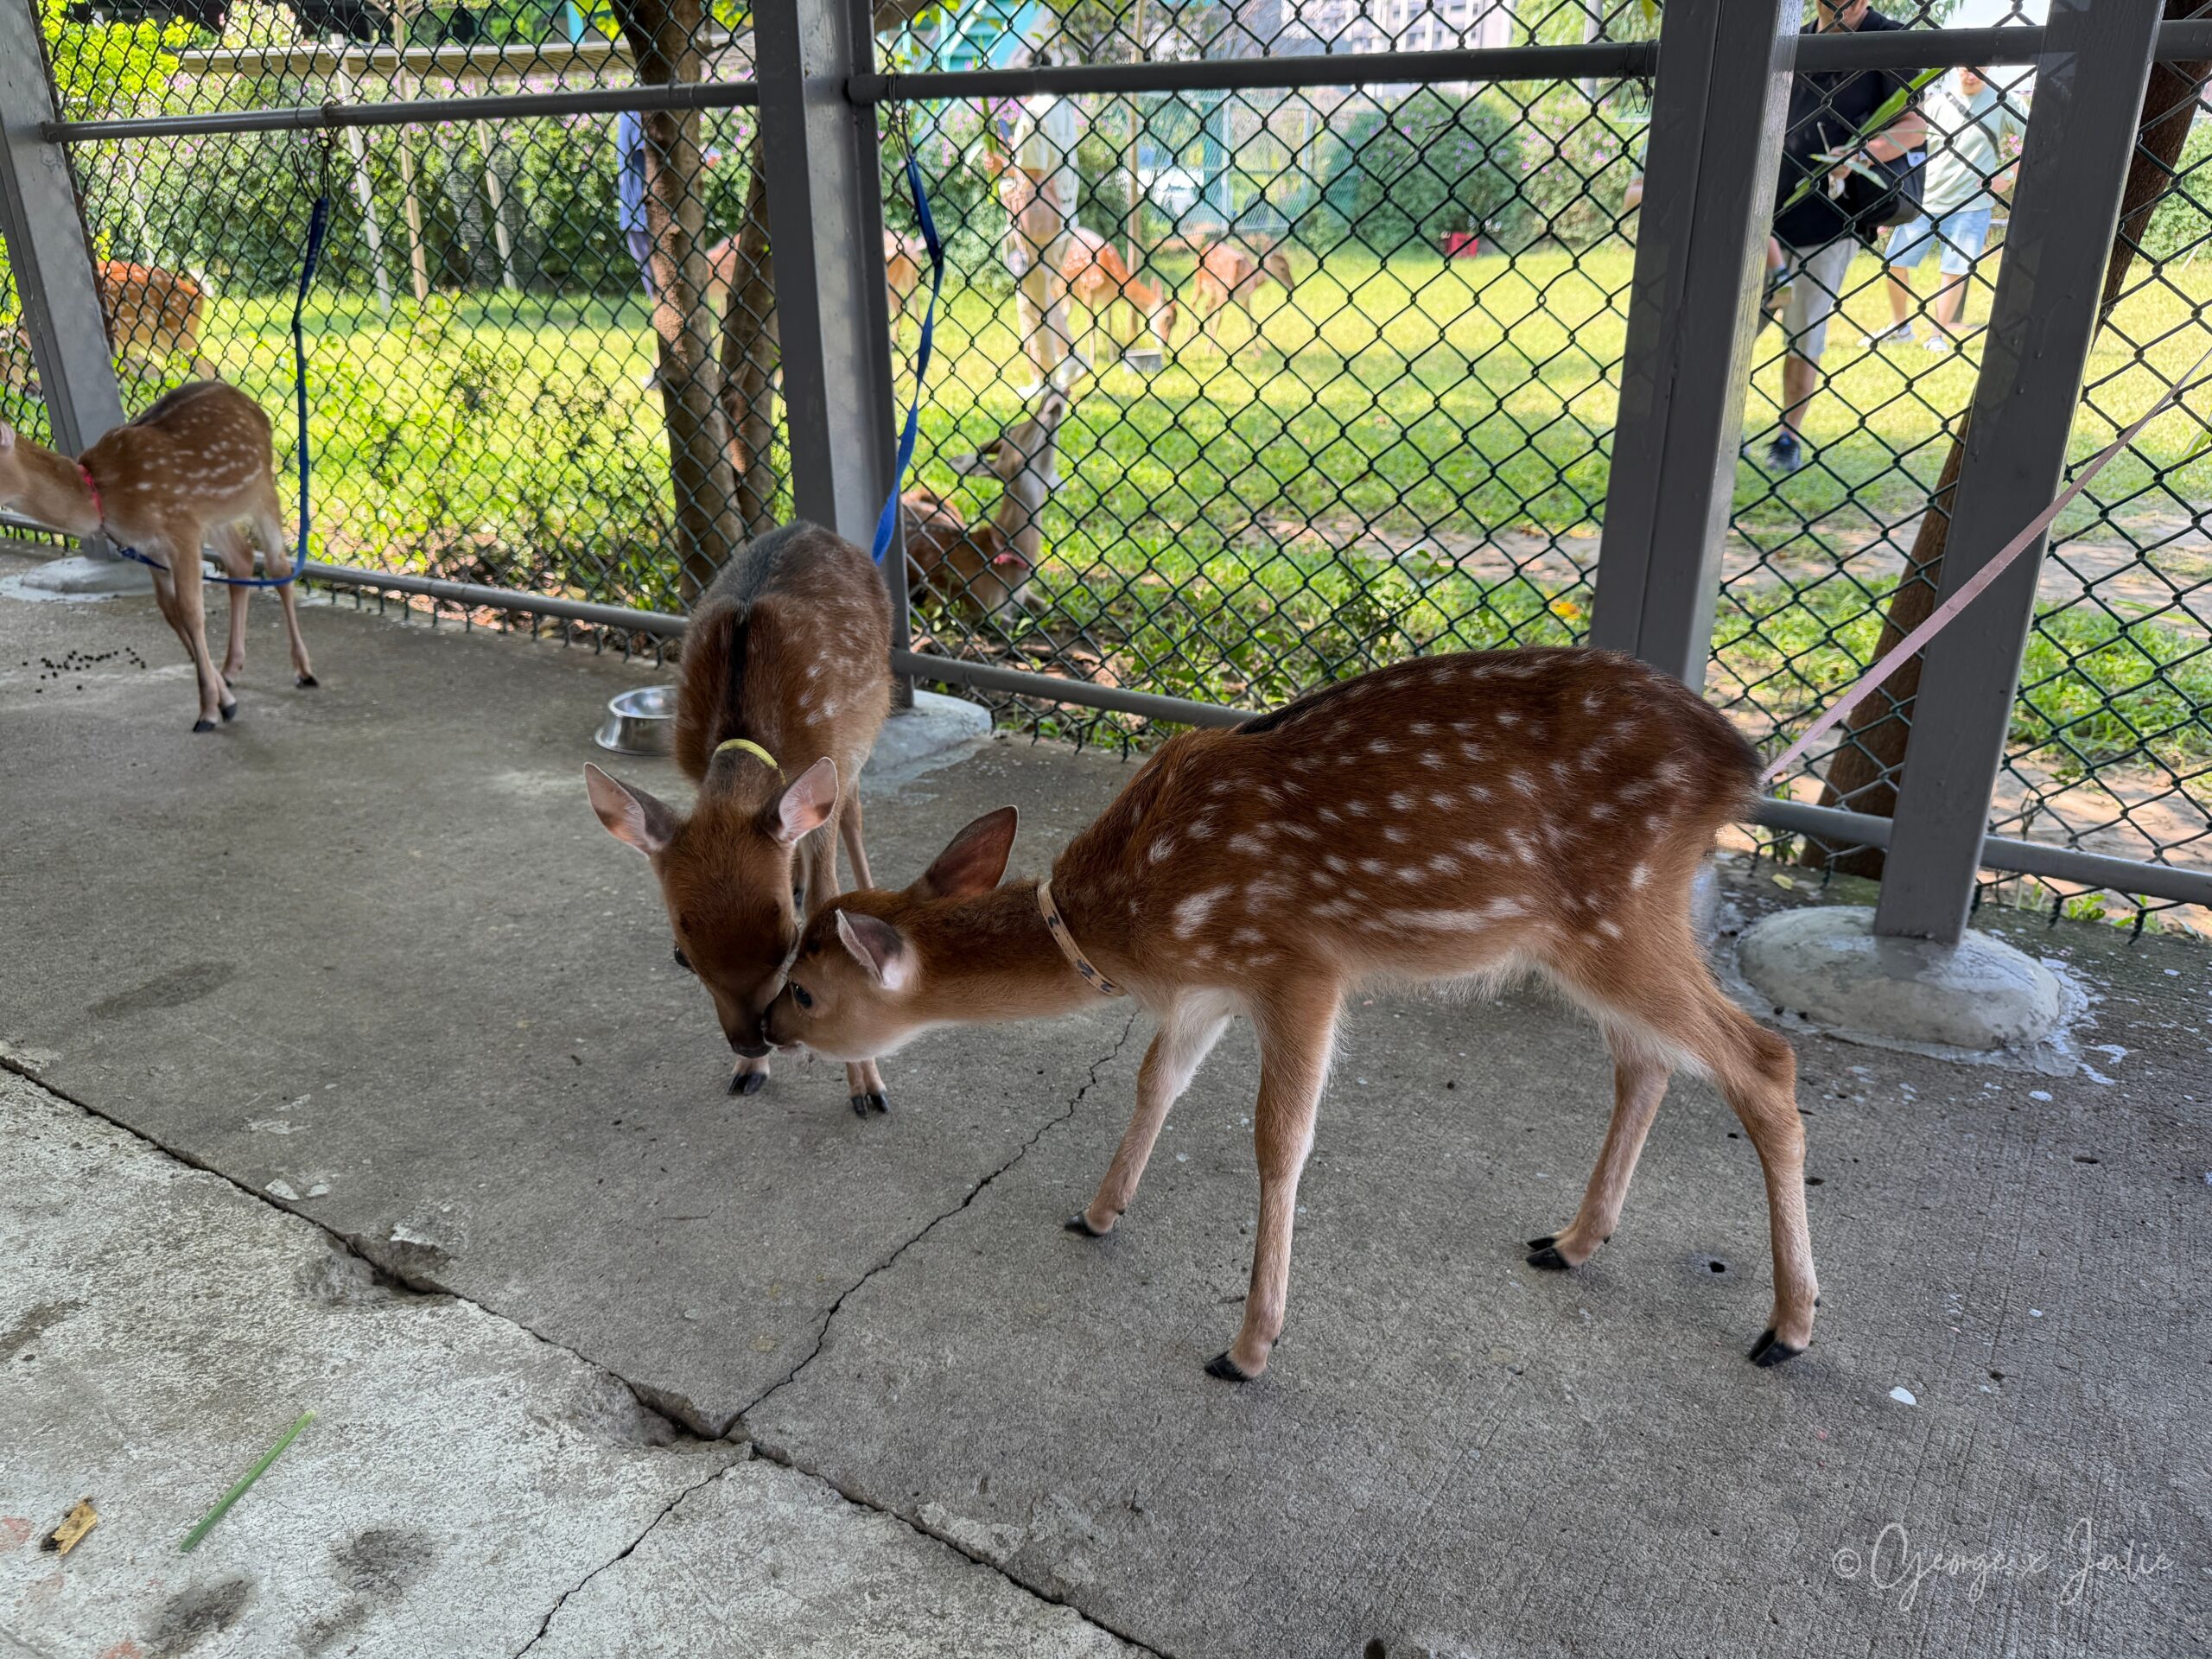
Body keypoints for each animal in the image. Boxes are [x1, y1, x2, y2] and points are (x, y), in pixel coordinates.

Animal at [0, 381, 317, 731]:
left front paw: (208, 711)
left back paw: (303, 670)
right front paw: (225, 702)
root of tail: (256, 408)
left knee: (279, 568)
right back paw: (231, 668)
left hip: (262, 490)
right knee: (242, 559)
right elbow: (171, 611)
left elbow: (191, 613)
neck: (104, 496)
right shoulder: (148, 547)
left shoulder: (181, 529)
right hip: (214, 515)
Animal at [584, 519, 895, 1114]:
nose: (752, 1041)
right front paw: (749, 1073)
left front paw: (867, 1086)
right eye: (681, 955)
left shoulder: (833, 755)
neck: (748, 730)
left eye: (790, 943)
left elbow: (829, 898)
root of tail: (815, 526)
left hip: (865, 731)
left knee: (855, 813)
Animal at [760, 648, 1818, 1381]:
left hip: (1616, 913)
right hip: (1600, 932)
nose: (760, 1031)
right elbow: (1156, 1082)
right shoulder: (1210, 986)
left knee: (1761, 1057)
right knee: (1650, 1059)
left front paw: (1247, 1346)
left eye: (806, 987)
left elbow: (1280, 1139)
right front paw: (1098, 1212)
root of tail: (1740, 765)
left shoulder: (1299, 966)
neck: (1128, 919)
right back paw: (1569, 1242)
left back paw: (1788, 1326)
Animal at [1058, 229, 1179, 362]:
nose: (1165, 343)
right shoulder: (1087, 289)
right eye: (1167, 317)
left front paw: (1112, 359)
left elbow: (1109, 328)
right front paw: (1092, 360)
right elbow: (1092, 328)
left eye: (1175, 322)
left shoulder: (1108, 299)